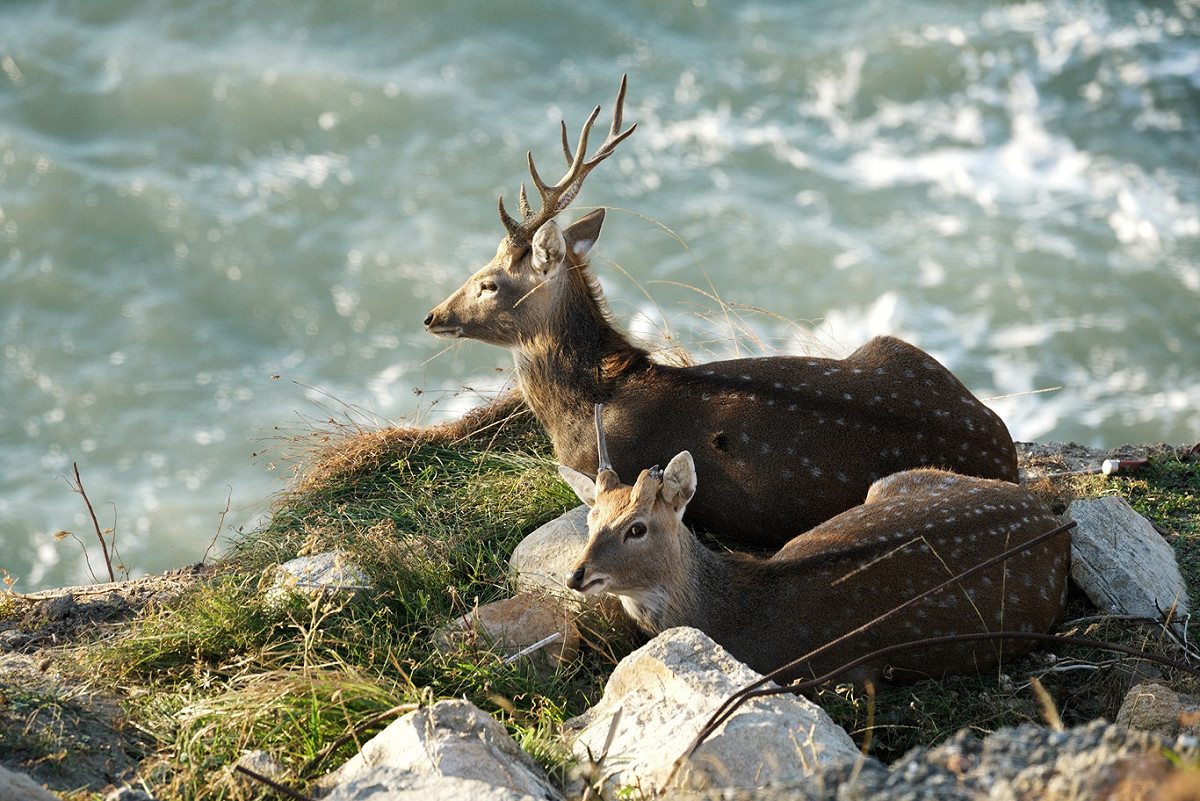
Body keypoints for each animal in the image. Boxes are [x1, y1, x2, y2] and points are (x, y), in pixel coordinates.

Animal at [560, 406, 1070, 685]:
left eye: (637, 528)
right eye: (591, 518)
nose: (575, 574)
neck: (734, 616)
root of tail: (1049, 516)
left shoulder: (841, 672)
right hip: (893, 481)